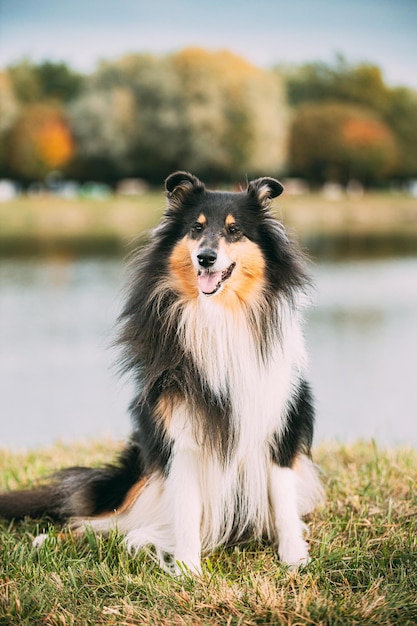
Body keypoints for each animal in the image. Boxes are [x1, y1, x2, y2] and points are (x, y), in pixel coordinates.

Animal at [0, 171, 322, 572]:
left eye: (234, 231)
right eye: (196, 228)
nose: (205, 257)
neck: (219, 317)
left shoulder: (277, 424)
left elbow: (282, 499)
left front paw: (294, 557)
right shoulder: (179, 436)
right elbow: (185, 510)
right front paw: (187, 569)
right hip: (143, 470)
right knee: (104, 519)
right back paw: (48, 539)